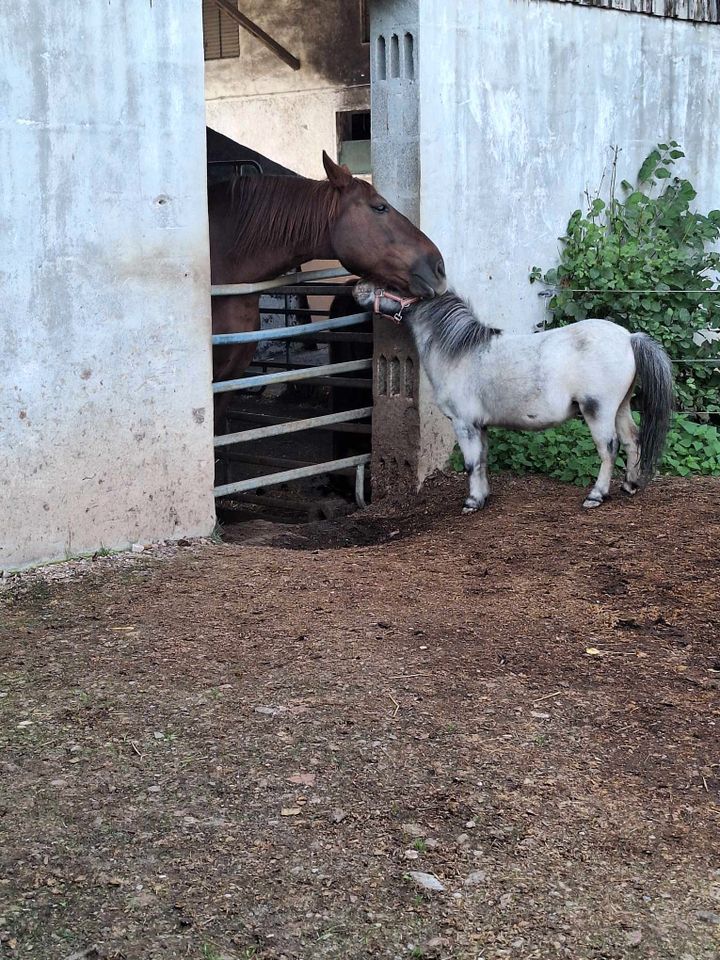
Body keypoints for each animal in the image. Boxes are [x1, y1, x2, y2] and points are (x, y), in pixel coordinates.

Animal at [354, 284, 676, 512]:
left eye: (393, 283)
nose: (357, 287)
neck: (459, 353)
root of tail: (629, 338)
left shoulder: (463, 424)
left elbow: (471, 463)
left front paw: (472, 502)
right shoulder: (479, 425)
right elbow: (482, 459)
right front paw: (483, 496)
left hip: (598, 410)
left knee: (609, 448)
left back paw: (596, 495)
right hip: (620, 407)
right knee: (632, 440)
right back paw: (630, 485)